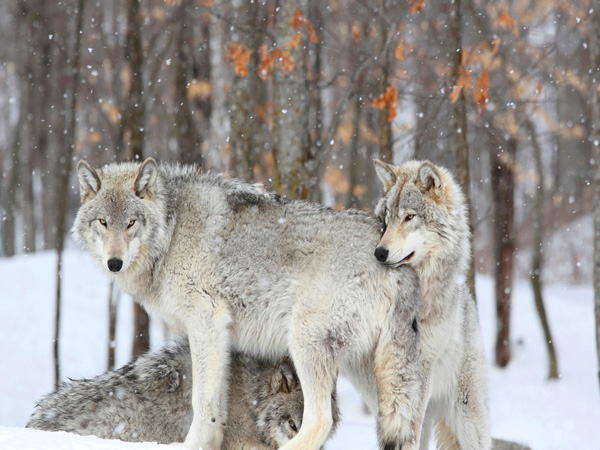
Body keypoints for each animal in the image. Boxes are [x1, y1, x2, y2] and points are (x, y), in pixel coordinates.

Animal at [74, 158, 422, 450]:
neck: (172, 231)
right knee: (409, 428)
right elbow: (218, 403)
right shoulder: (219, 336)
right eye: (103, 222)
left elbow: (202, 401)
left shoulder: (206, 321)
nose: (114, 263)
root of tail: (393, 260)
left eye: (131, 223)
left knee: (320, 420)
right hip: (371, 373)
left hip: (306, 342)